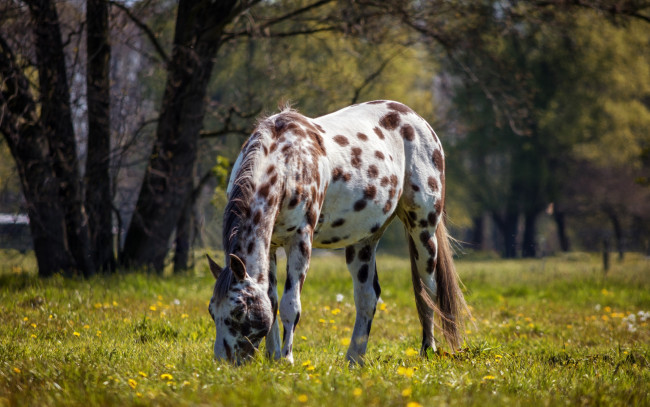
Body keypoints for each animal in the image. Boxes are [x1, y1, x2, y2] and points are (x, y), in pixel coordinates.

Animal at [208, 100, 466, 364]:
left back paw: (427, 350)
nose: (223, 363)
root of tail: (417, 119)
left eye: (239, 310)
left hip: (423, 230)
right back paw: (354, 360)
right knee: (367, 298)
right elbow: (272, 301)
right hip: (363, 242)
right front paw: (272, 357)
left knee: (427, 291)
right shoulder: (270, 246)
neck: (287, 162)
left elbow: (291, 305)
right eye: (212, 310)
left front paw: (286, 360)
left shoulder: (300, 241)